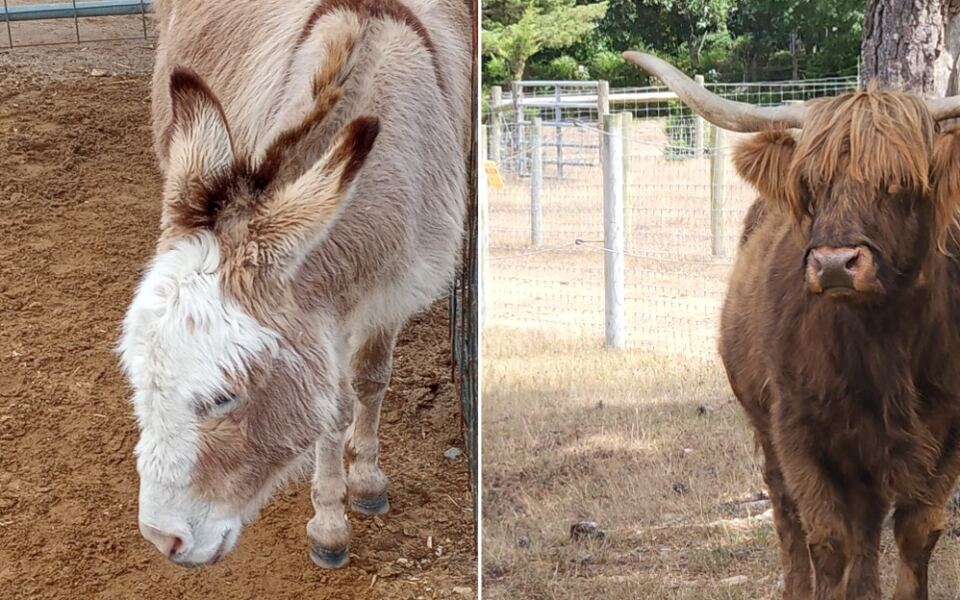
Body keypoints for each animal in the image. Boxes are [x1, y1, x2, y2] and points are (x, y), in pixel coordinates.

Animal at [117, 0, 471, 569]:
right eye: (139, 380)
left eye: (223, 397)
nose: (159, 538)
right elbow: (333, 409)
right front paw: (330, 523)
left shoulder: (393, 291)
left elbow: (370, 381)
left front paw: (365, 481)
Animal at [625, 52, 960, 599]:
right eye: (811, 186)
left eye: (901, 182)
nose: (834, 264)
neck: (884, 345)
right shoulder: (797, 429)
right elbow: (826, 539)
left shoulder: (949, 431)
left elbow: (916, 534)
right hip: (766, 425)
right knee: (787, 516)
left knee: (867, 525)